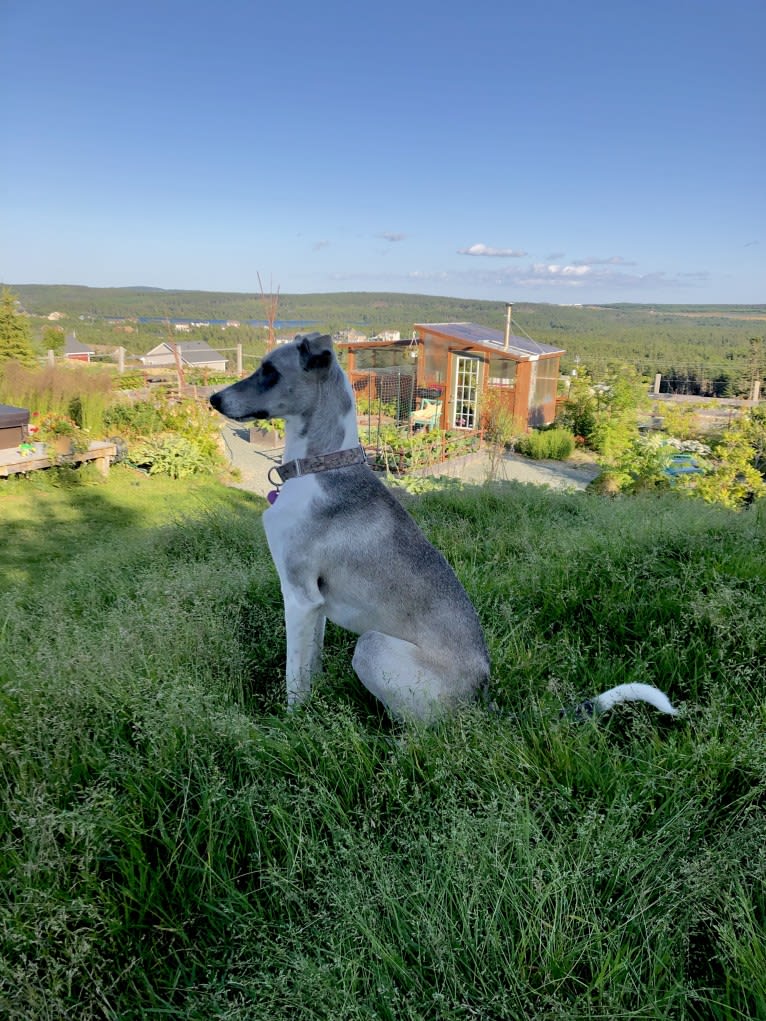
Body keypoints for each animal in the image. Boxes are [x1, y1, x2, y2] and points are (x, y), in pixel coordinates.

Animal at [210, 330, 678, 722]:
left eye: (270, 371)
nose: (213, 399)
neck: (320, 468)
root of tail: (482, 701)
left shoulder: (299, 598)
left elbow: (295, 678)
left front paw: (290, 724)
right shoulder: (316, 605)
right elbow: (313, 664)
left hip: (372, 645)